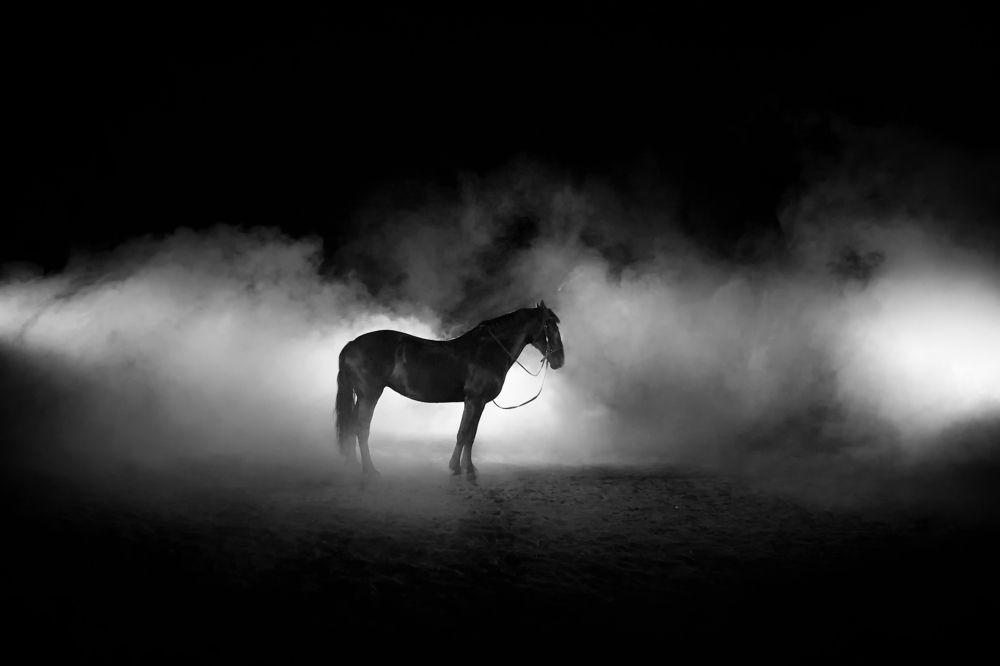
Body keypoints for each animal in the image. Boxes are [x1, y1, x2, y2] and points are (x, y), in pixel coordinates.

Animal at [335, 301, 565, 475]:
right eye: (551, 325)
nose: (559, 360)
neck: (488, 349)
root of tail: (352, 344)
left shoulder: (474, 403)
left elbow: (468, 433)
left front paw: (462, 466)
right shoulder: (475, 401)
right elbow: (465, 434)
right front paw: (462, 468)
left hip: (362, 396)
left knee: (351, 427)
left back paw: (354, 465)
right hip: (370, 395)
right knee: (361, 428)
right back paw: (370, 470)